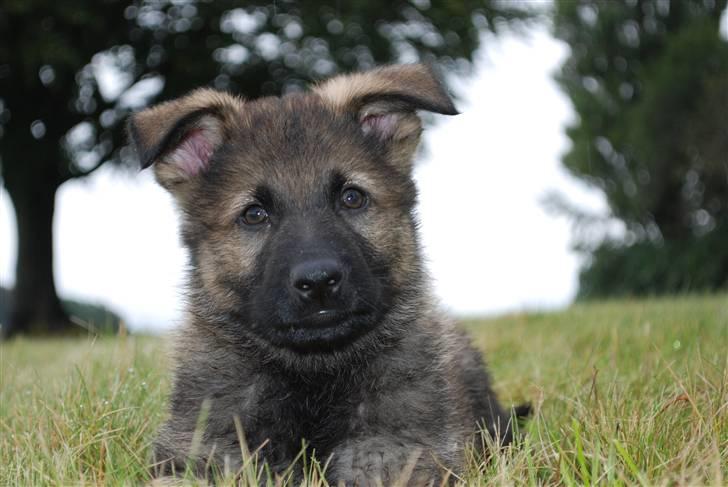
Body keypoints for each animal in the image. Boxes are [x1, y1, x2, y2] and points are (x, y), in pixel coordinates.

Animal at [128, 63, 520, 484]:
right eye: (254, 214)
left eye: (352, 197)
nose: (318, 281)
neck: (315, 373)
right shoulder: (203, 451)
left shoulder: (401, 452)